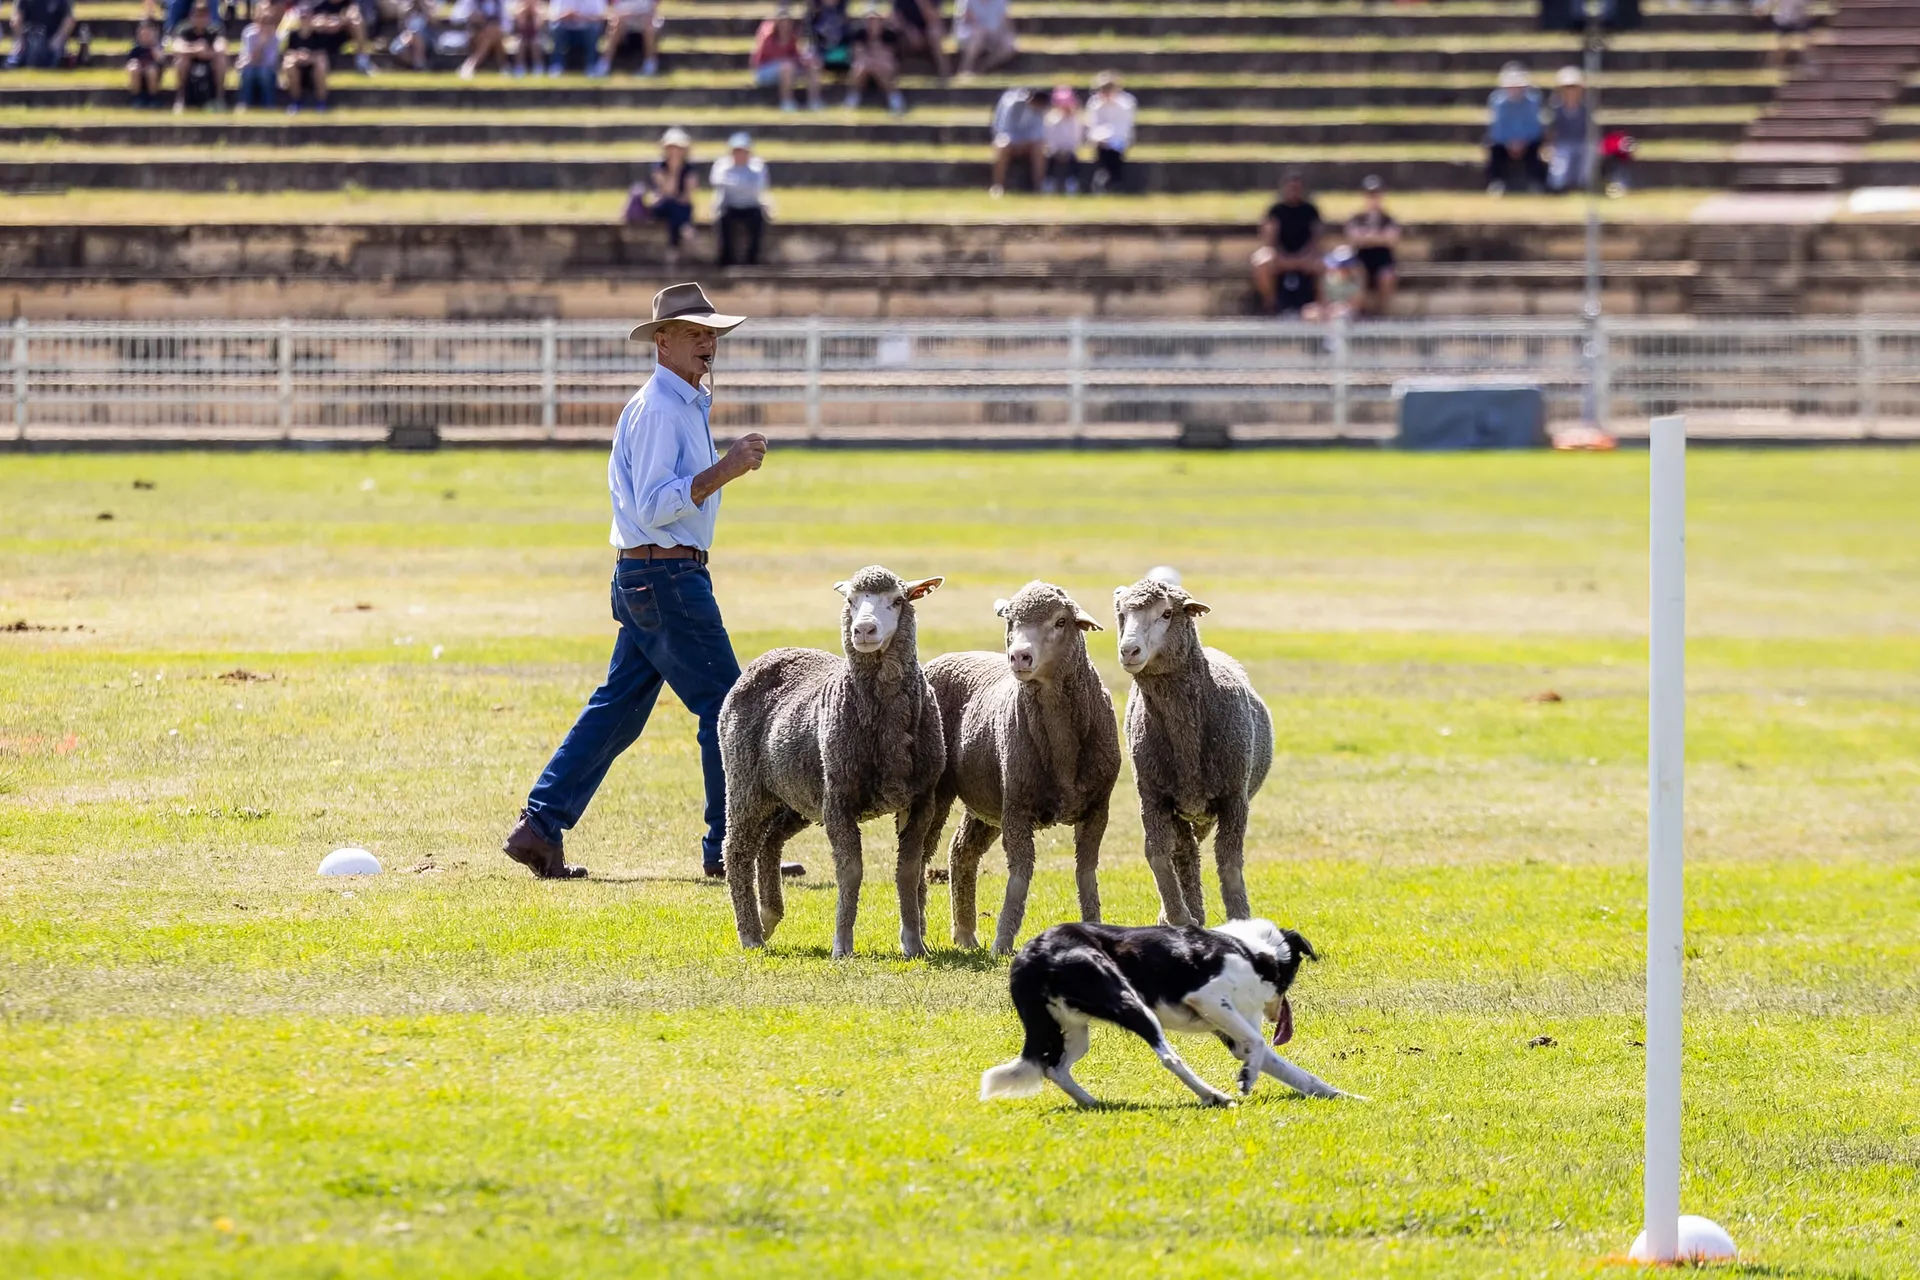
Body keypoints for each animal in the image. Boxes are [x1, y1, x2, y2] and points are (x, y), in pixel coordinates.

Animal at [718, 565, 948, 960]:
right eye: (851, 601)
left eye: (897, 600)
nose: (864, 630)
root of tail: (770, 655)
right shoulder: (839, 799)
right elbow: (850, 871)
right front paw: (842, 945)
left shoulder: (921, 800)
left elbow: (908, 870)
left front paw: (914, 944)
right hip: (746, 782)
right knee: (737, 850)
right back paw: (750, 933)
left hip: (798, 793)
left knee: (770, 842)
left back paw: (769, 915)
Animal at [922, 582, 1122, 955]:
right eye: (1010, 621)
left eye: (1061, 621)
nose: (1019, 656)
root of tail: (944, 658)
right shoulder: (1016, 808)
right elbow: (1020, 874)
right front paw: (1003, 942)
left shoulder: (1097, 809)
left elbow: (1086, 873)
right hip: (944, 792)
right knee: (919, 854)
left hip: (987, 801)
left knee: (961, 850)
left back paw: (965, 933)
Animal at [1112, 577, 1273, 927]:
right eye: (1122, 615)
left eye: (1167, 613)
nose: (1129, 651)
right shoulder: (1152, 797)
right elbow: (1157, 853)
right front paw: (1178, 915)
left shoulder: (1234, 798)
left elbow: (1229, 860)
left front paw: (1240, 918)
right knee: (1185, 853)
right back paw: (1189, 913)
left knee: (1194, 848)